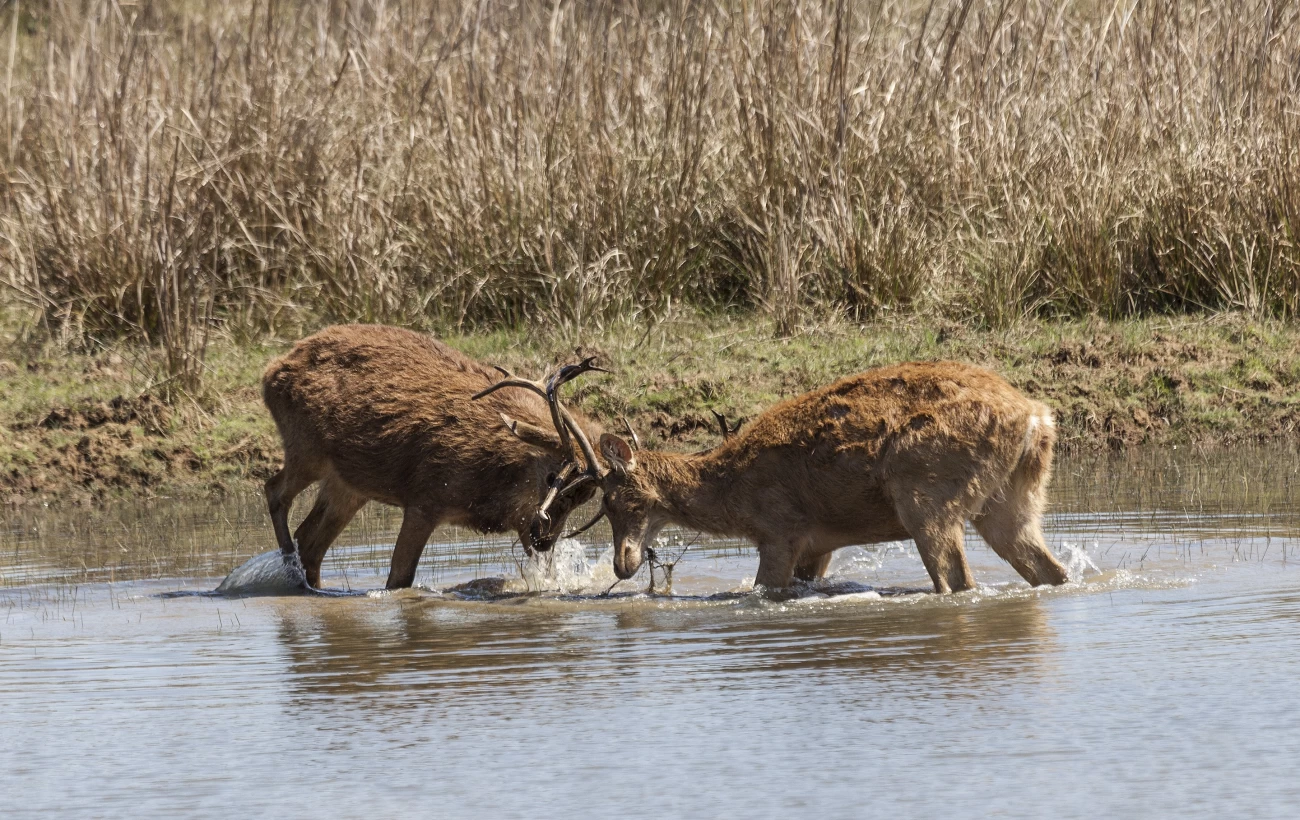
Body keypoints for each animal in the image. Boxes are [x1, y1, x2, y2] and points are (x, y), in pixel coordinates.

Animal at [261, 324, 605, 591]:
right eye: (553, 481)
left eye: (582, 500)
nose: (545, 541)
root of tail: (269, 373)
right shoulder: (425, 499)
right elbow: (399, 579)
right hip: (305, 448)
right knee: (275, 491)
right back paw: (289, 571)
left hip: (348, 485)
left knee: (310, 541)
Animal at [508, 360, 1069, 595]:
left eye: (616, 500)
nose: (622, 565)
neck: (733, 496)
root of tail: (1036, 417)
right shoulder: (818, 545)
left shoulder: (780, 530)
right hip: (1014, 500)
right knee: (1051, 570)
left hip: (925, 490)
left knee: (958, 580)